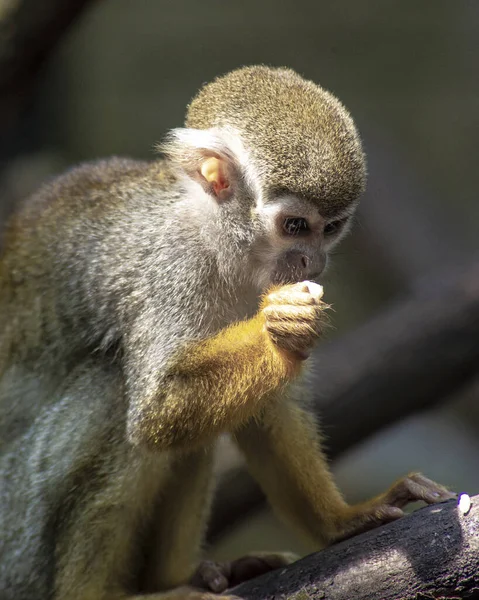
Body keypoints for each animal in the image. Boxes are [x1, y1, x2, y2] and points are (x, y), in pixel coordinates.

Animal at [0, 65, 454, 600]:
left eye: (331, 228)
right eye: (295, 226)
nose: (313, 262)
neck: (220, 242)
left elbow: (265, 409)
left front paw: (341, 520)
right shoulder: (173, 266)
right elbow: (157, 410)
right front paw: (279, 331)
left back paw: (179, 577)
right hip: (18, 539)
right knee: (114, 390)